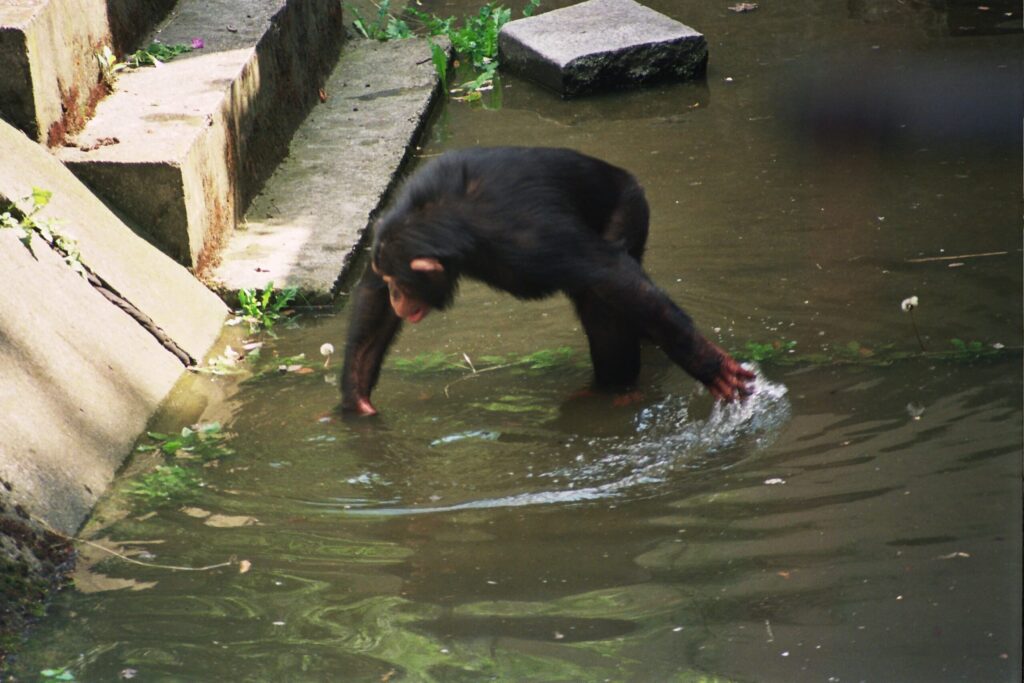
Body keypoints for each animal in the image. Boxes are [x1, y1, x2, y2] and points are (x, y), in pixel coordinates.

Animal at [342, 145, 753, 417]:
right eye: (390, 280)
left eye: (401, 283)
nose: (397, 296)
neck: (446, 219)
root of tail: (625, 176)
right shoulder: (386, 227)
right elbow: (373, 306)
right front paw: (355, 397)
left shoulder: (531, 237)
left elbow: (611, 275)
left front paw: (709, 363)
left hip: (629, 209)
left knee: (602, 296)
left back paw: (610, 390)